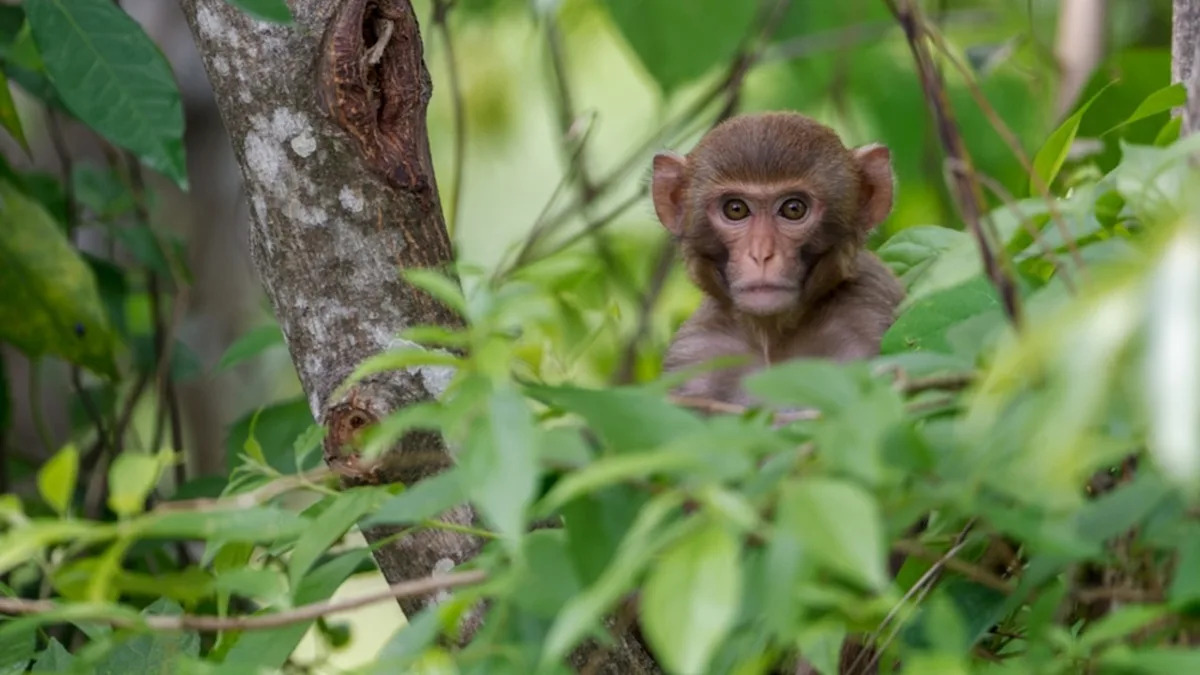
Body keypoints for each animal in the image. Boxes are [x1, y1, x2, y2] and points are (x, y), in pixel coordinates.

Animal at [652, 111, 905, 409]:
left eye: (793, 209)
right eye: (736, 209)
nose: (761, 254)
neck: (770, 336)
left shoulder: (865, 316)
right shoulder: (696, 354)